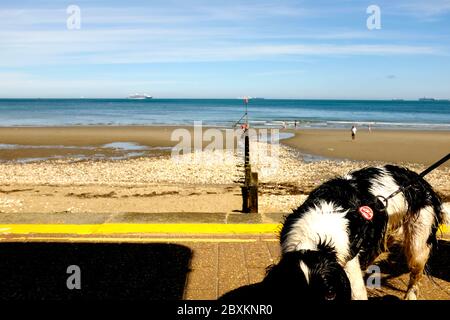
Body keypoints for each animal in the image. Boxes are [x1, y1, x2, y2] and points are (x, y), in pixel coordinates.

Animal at [280, 165, 444, 300]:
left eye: (329, 294)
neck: (316, 238)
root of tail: (419, 180)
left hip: (417, 245)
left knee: (416, 273)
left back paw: (410, 296)